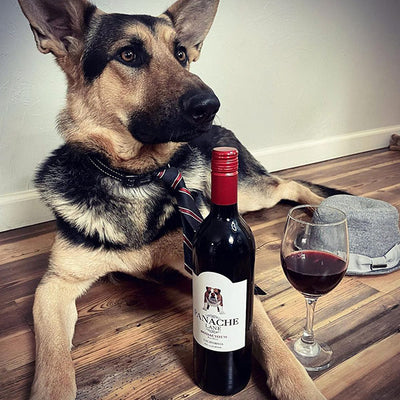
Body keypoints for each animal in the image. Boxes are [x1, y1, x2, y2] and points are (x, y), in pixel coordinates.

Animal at [17, 0, 332, 398]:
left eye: (181, 54)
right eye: (129, 54)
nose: (210, 105)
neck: (135, 178)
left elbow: (271, 341)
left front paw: (299, 385)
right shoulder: (54, 286)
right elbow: (53, 363)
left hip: (249, 195)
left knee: (287, 184)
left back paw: (327, 208)